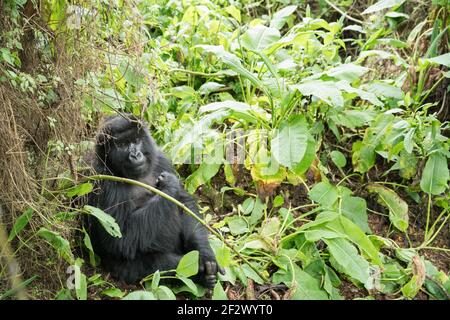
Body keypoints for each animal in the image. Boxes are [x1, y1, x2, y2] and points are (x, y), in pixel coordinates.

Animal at [86, 114, 223, 288]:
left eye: (136, 140)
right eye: (122, 145)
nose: (135, 155)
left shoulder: (161, 159)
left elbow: (184, 202)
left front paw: (205, 253)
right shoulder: (103, 181)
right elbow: (120, 238)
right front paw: (169, 185)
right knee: (157, 265)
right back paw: (198, 272)